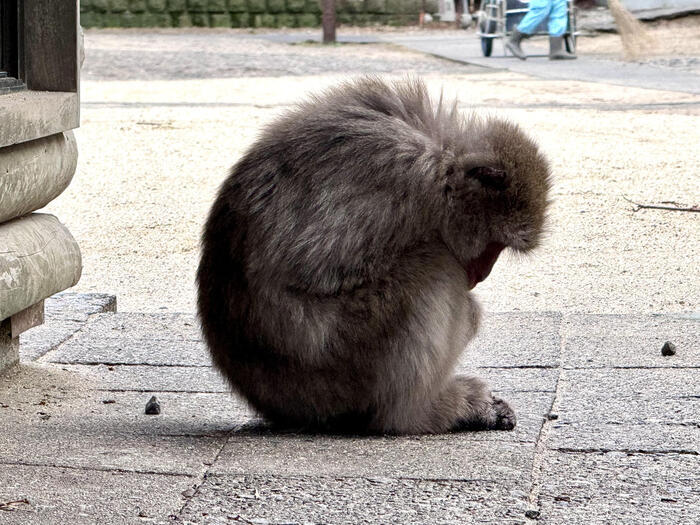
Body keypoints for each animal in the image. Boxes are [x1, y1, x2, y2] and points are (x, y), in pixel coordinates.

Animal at [197, 74, 552, 434]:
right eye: (494, 245)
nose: (483, 273)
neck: (443, 162)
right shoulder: (403, 179)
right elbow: (319, 271)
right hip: (333, 371)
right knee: (436, 267)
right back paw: (420, 413)